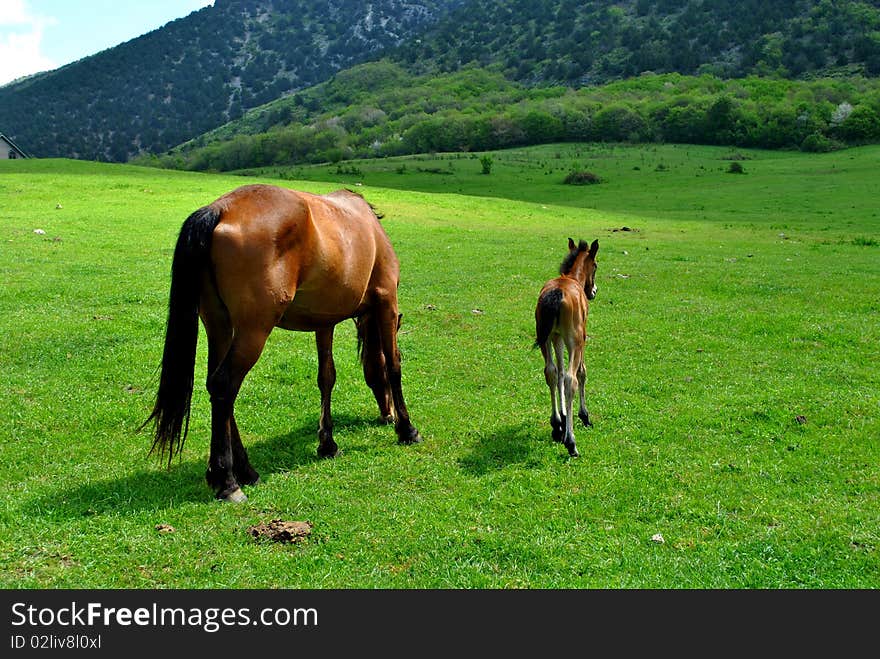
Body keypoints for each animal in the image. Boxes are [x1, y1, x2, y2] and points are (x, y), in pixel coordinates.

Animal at [142, 183, 422, 502]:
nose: (386, 415)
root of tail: (221, 209)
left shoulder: (324, 321)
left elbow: (326, 377)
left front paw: (328, 444)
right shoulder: (386, 300)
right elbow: (394, 365)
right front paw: (407, 429)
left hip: (219, 325)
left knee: (217, 387)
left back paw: (246, 471)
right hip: (253, 331)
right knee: (224, 385)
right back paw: (227, 481)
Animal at [536, 238, 600, 458]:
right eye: (596, 266)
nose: (594, 291)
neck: (573, 278)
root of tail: (558, 293)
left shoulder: (557, 337)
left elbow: (559, 371)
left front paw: (563, 418)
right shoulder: (581, 338)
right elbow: (581, 372)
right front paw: (584, 416)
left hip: (546, 338)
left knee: (551, 372)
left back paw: (556, 426)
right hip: (574, 339)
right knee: (571, 379)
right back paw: (571, 442)